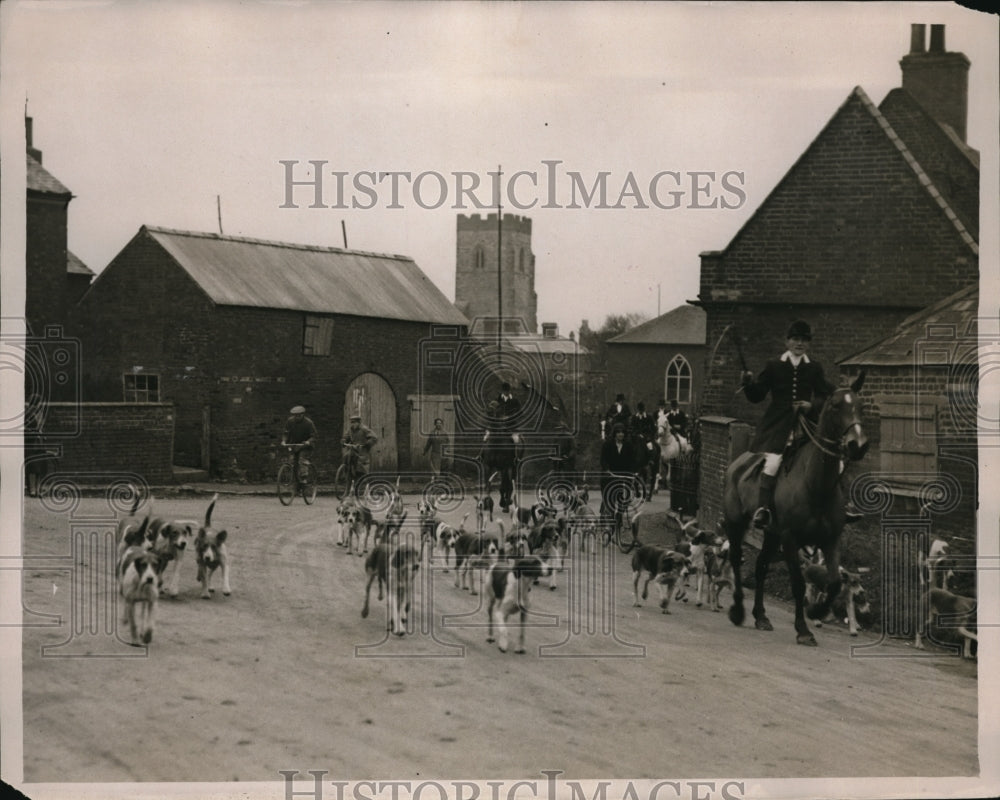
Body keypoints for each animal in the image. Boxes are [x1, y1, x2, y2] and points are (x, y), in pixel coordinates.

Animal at [720, 374, 868, 644]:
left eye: (860, 405)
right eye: (835, 406)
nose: (858, 444)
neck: (816, 486)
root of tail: (739, 461)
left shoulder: (831, 539)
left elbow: (834, 582)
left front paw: (816, 611)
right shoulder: (790, 538)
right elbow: (798, 584)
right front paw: (803, 630)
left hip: (771, 533)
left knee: (761, 567)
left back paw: (761, 616)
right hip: (737, 523)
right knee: (736, 559)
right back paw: (738, 610)